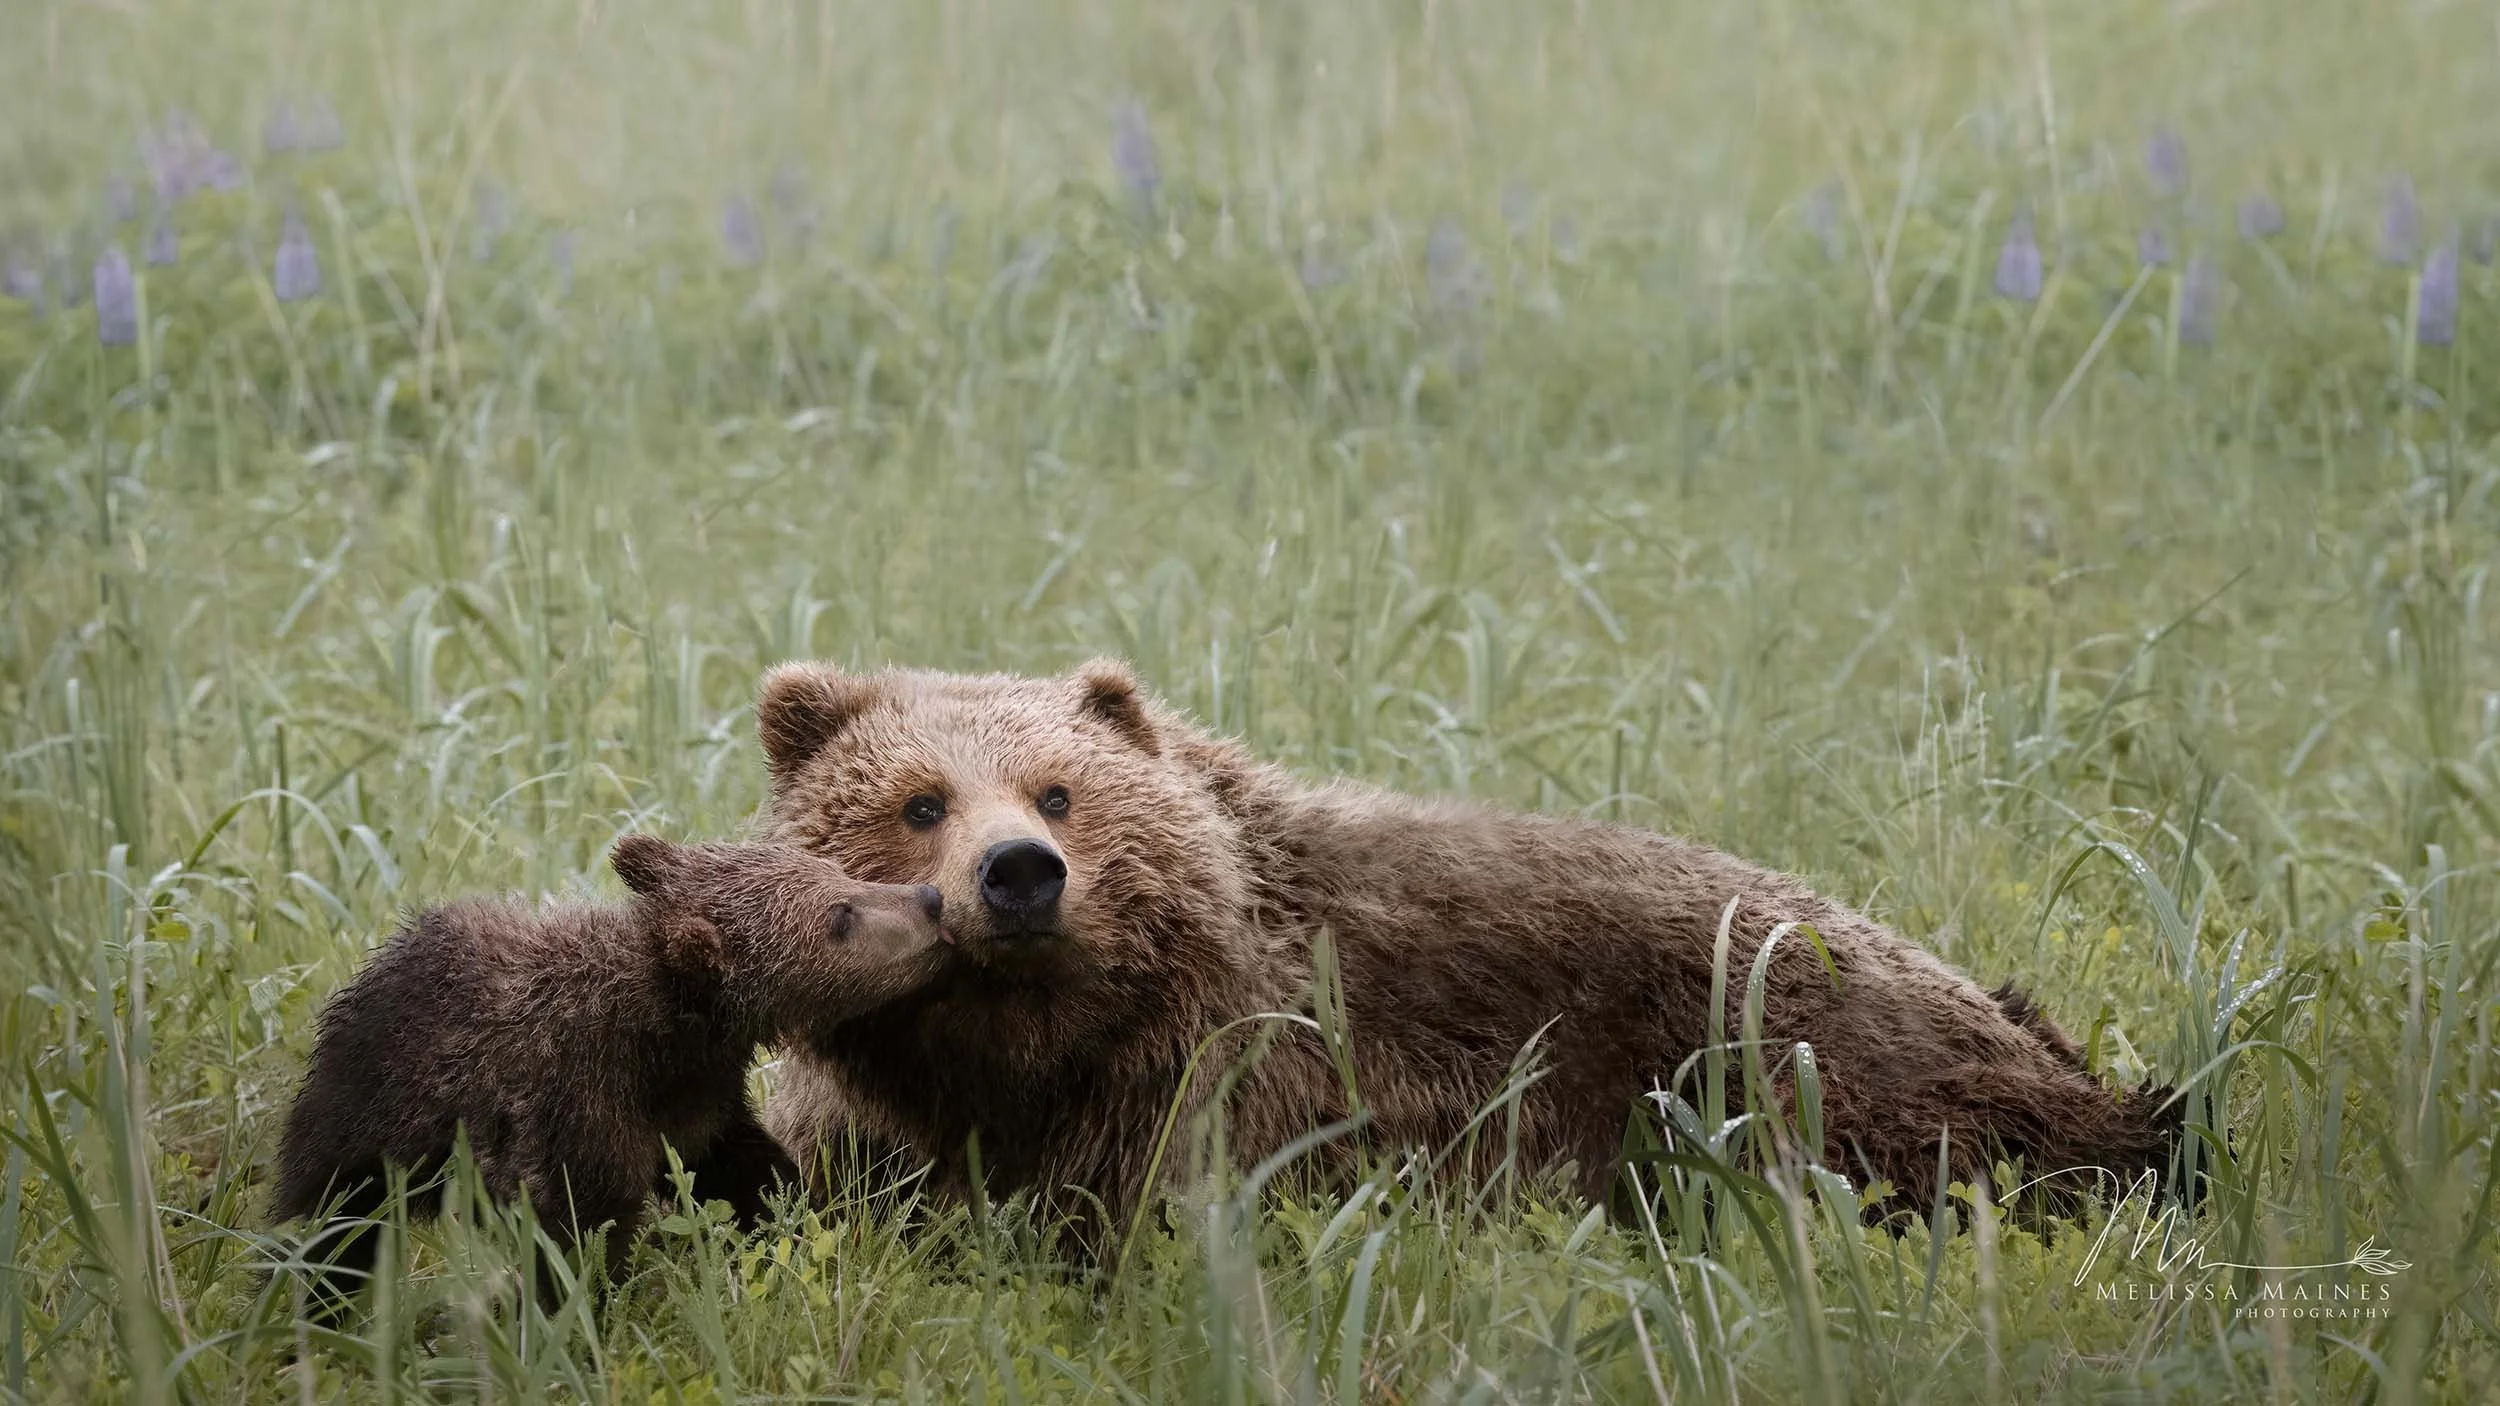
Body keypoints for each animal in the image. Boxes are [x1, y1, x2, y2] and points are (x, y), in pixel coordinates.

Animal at [272, 835, 950, 1312]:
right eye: (840, 915)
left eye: (836, 873)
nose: (930, 899)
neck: (659, 1038)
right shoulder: (574, 1107)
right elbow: (579, 1234)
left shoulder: (697, 1104)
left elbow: (745, 1172)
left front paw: (800, 1220)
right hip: (372, 1123)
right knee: (334, 1223)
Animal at [751, 658, 2181, 1234]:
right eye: (918, 799)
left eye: (1058, 790)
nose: (1018, 875)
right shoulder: (872, 1121)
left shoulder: (1243, 1080)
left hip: (1799, 1053)